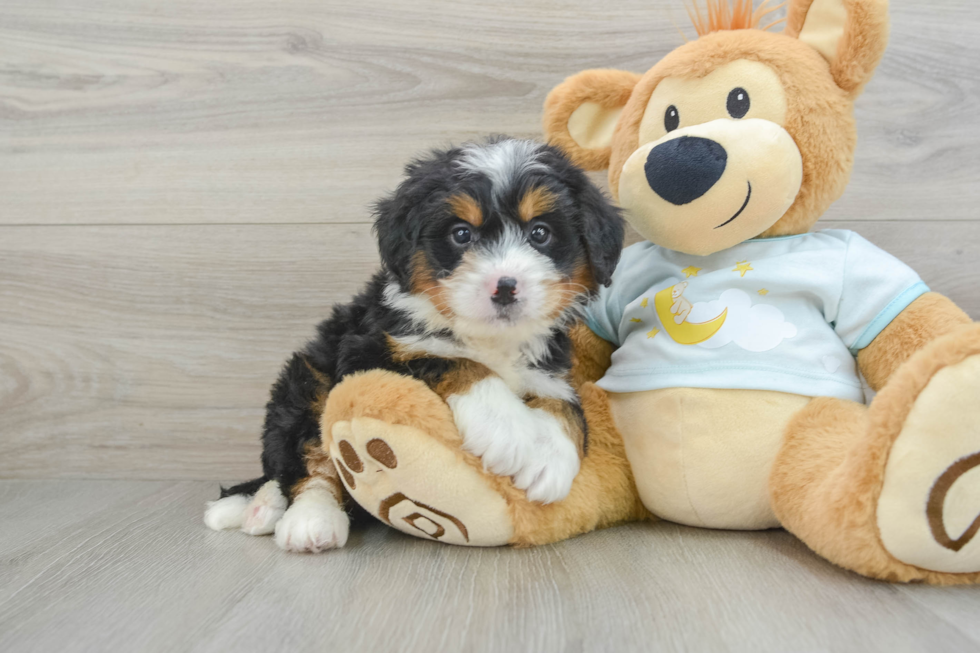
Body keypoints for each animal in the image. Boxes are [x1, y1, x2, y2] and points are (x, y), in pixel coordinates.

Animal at [203, 136, 624, 552]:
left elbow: (565, 402)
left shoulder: (549, 367)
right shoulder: (369, 348)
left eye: (540, 233)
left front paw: (550, 458)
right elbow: (453, 360)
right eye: (461, 234)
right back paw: (295, 517)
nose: (504, 287)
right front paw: (508, 431)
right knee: (305, 462)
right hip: (307, 379)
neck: (489, 337)